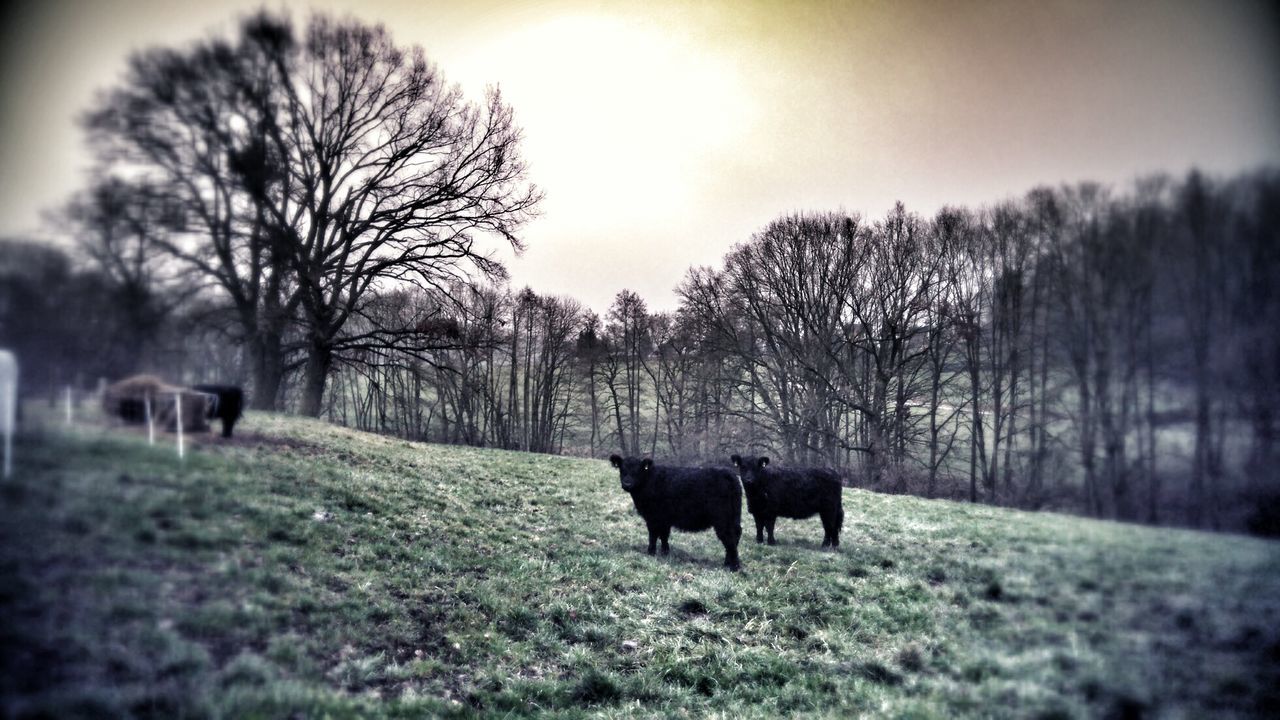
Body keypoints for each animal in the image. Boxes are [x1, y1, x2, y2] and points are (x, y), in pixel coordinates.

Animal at [606, 456, 742, 568]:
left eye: (638, 470)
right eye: (622, 469)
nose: (627, 483)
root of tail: (729, 474)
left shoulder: (653, 517)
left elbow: (653, 535)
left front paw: (650, 552)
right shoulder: (664, 518)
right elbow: (664, 535)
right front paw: (665, 552)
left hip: (722, 519)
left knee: (729, 538)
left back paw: (734, 566)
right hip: (734, 516)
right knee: (735, 535)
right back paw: (727, 563)